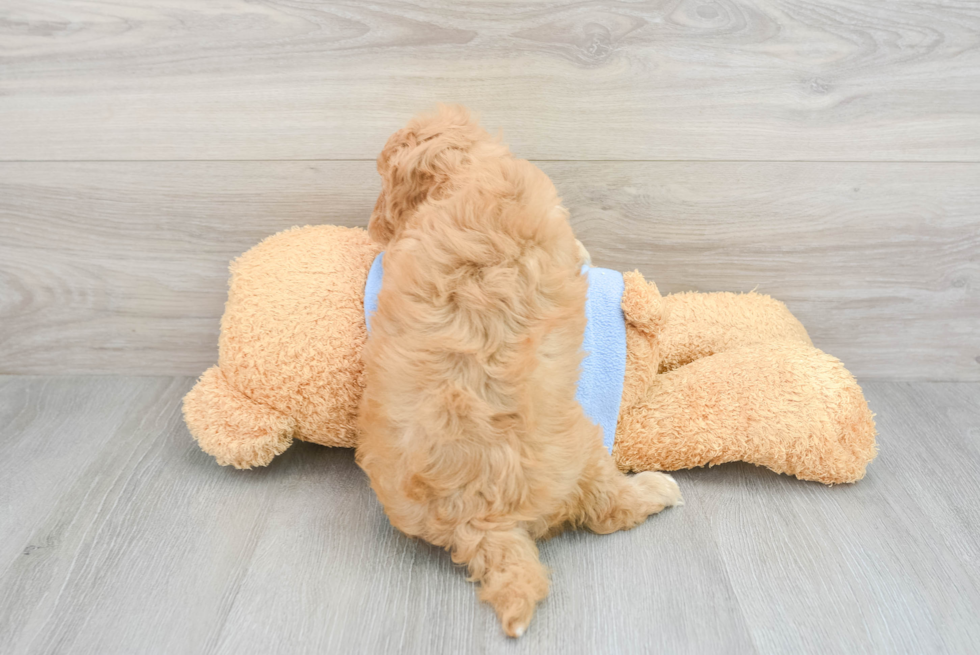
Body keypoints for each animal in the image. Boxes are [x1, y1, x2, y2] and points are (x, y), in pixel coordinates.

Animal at [358, 106, 680, 636]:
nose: (375, 227)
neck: (463, 174)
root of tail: (481, 520)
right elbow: (575, 247)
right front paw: (587, 254)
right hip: (583, 452)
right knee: (608, 509)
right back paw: (657, 489)